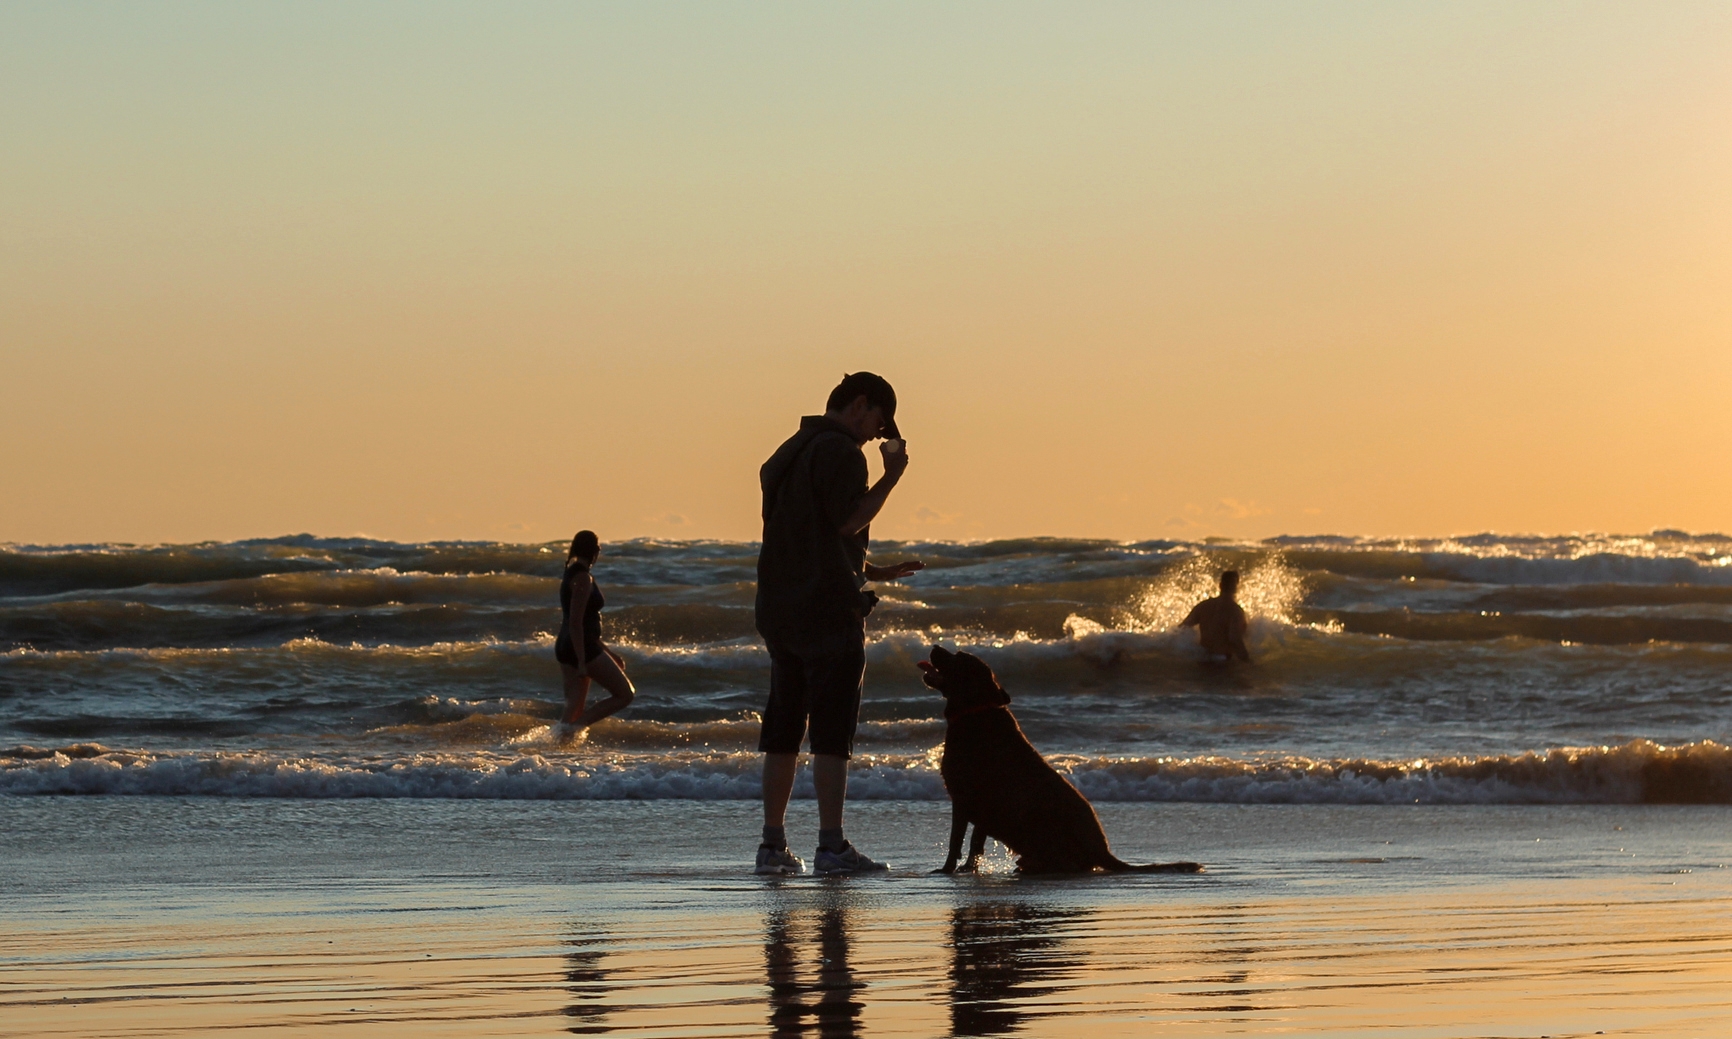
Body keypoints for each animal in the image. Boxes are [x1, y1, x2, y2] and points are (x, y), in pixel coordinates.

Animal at [921, 644, 1205, 872]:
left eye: (958, 656)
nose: (934, 646)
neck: (975, 711)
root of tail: (1102, 851)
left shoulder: (964, 799)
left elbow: (956, 841)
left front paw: (947, 870)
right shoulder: (982, 807)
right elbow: (974, 844)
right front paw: (967, 868)